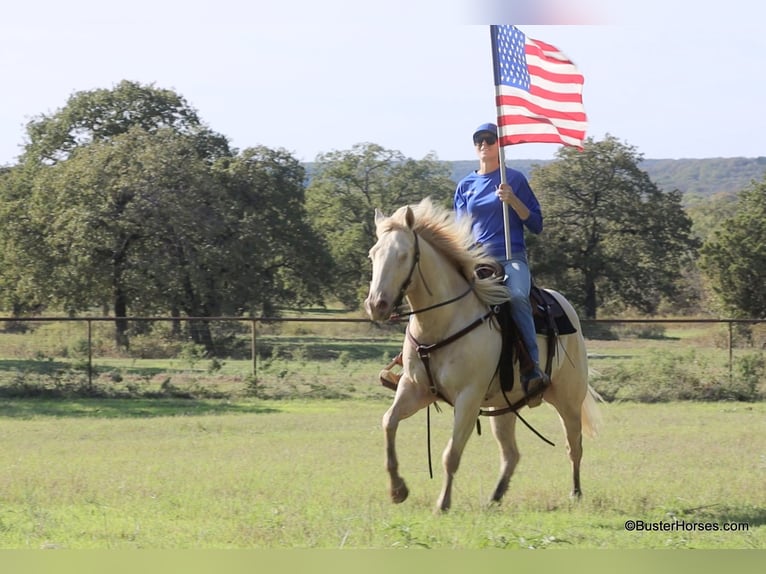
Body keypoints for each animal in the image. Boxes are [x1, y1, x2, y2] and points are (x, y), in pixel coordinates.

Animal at [364, 198, 604, 512]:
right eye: (373, 255)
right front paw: (397, 489)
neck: (444, 321)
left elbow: (451, 454)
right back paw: (495, 497)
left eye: (403, 256)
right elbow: (388, 422)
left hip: (568, 399)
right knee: (512, 454)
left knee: (573, 445)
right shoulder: (414, 389)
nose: (376, 305)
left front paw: (442, 504)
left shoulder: (468, 398)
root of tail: (564, 304)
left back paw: (575, 493)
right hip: (504, 408)